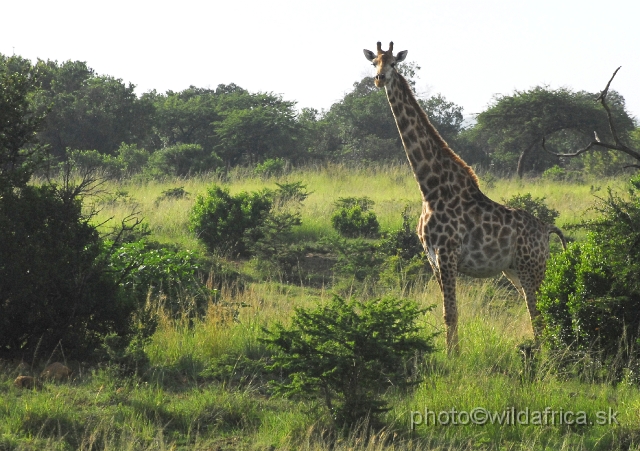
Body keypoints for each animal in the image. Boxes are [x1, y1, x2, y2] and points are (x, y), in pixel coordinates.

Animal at [362, 42, 568, 354]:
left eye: (394, 64)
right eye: (374, 62)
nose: (379, 79)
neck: (430, 188)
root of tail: (546, 230)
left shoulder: (447, 253)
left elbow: (451, 312)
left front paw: (452, 357)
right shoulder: (432, 258)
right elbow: (447, 311)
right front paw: (453, 353)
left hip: (532, 267)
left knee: (539, 312)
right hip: (515, 270)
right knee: (537, 310)